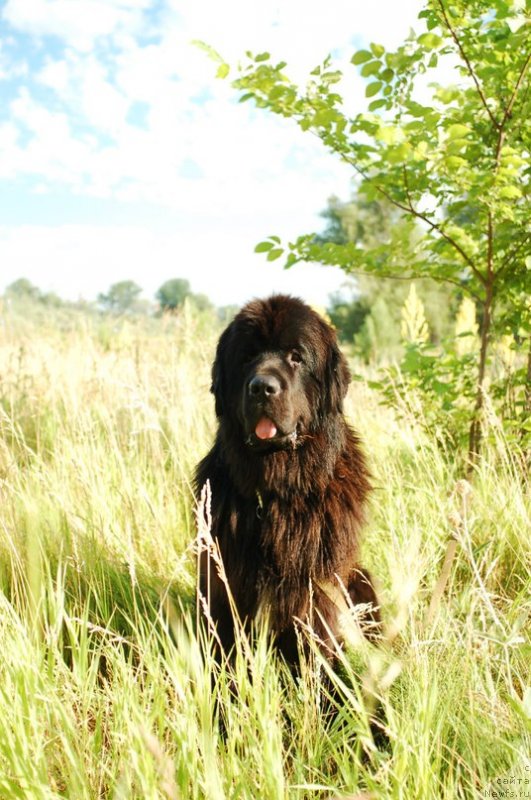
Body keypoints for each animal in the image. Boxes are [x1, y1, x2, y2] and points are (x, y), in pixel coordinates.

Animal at [197, 296, 380, 664]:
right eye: (247, 357)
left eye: (297, 357)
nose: (262, 388)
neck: (278, 489)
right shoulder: (223, 579)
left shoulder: (317, 583)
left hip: (360, 578)